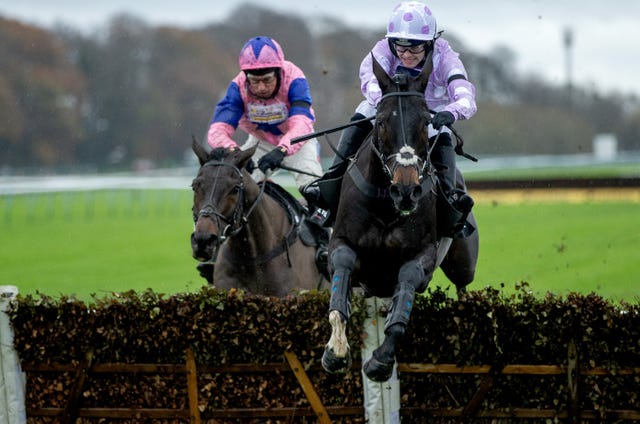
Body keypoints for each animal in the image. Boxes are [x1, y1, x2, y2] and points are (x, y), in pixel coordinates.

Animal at [322, 54, 478, 382]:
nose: (405, 190)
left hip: (463, 265)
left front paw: (380, 360)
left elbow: (405, 293)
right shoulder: (341, 243)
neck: (385, 205)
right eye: (381, 121)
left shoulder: (422, 256)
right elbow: (340, 279)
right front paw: (335, 350)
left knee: (463, 288)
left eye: (427, 122)